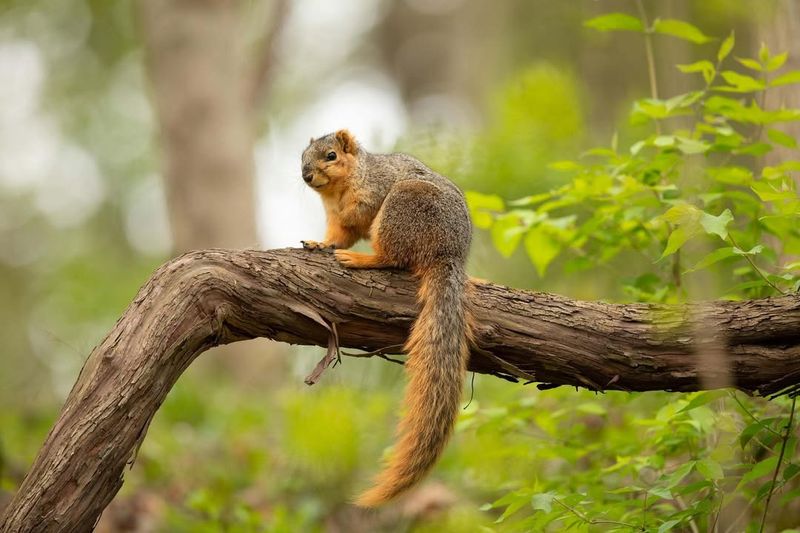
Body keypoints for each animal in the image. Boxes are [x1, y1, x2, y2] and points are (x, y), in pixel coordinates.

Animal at [302, 130, 476, 508]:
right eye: (302, 157)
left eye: (331, 155)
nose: (307, 176)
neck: (338, 191)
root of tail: (448, 253)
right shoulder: (337, 220)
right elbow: (339, 235)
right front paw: (319, 244)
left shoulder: (373, 194)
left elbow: (360, 215)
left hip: (401, 210)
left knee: (394, 258)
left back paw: (362, 259)